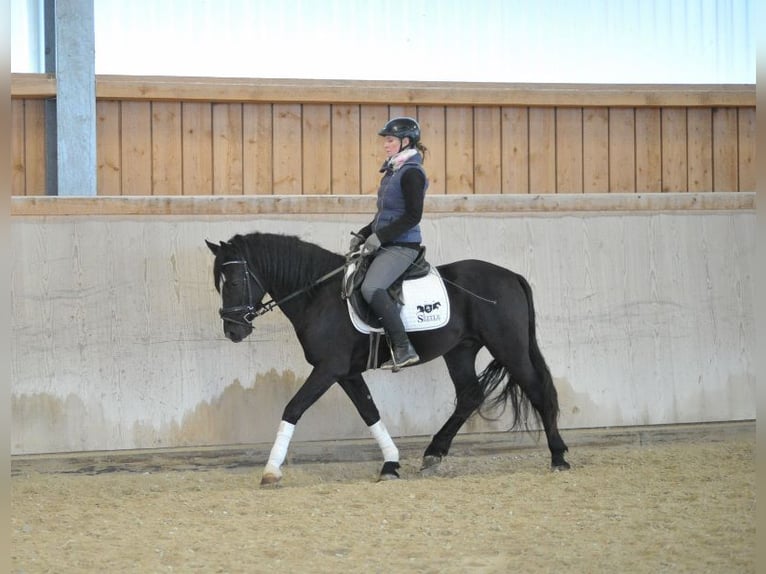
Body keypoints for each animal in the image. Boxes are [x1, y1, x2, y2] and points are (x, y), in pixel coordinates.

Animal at [206, 233, 568, 486]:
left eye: (235, 281)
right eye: (219, 285)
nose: (233, 330)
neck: (318, 296)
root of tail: (511, 276)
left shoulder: (329, 368)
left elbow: (293, 408)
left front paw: (271, 470)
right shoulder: (345, 372)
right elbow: (369, 412)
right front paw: (391, 464)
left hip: (508, 345)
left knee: (538, 391)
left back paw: (559, 457)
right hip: (460, 350)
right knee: (470, 396)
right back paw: (433, 454)